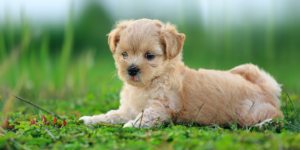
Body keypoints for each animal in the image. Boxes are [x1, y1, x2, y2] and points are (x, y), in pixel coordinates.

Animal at [79, 18, 282, 128]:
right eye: (124, 54)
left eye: (149, 56)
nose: (132, 69)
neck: (149, 84)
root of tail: (266, 89)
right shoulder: (129, 109)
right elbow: (112, 115)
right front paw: (92, 119)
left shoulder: (162, 107)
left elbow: (145, 115)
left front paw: (132, 125)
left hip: (249, 111)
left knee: (278, 117)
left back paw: (265, 124)